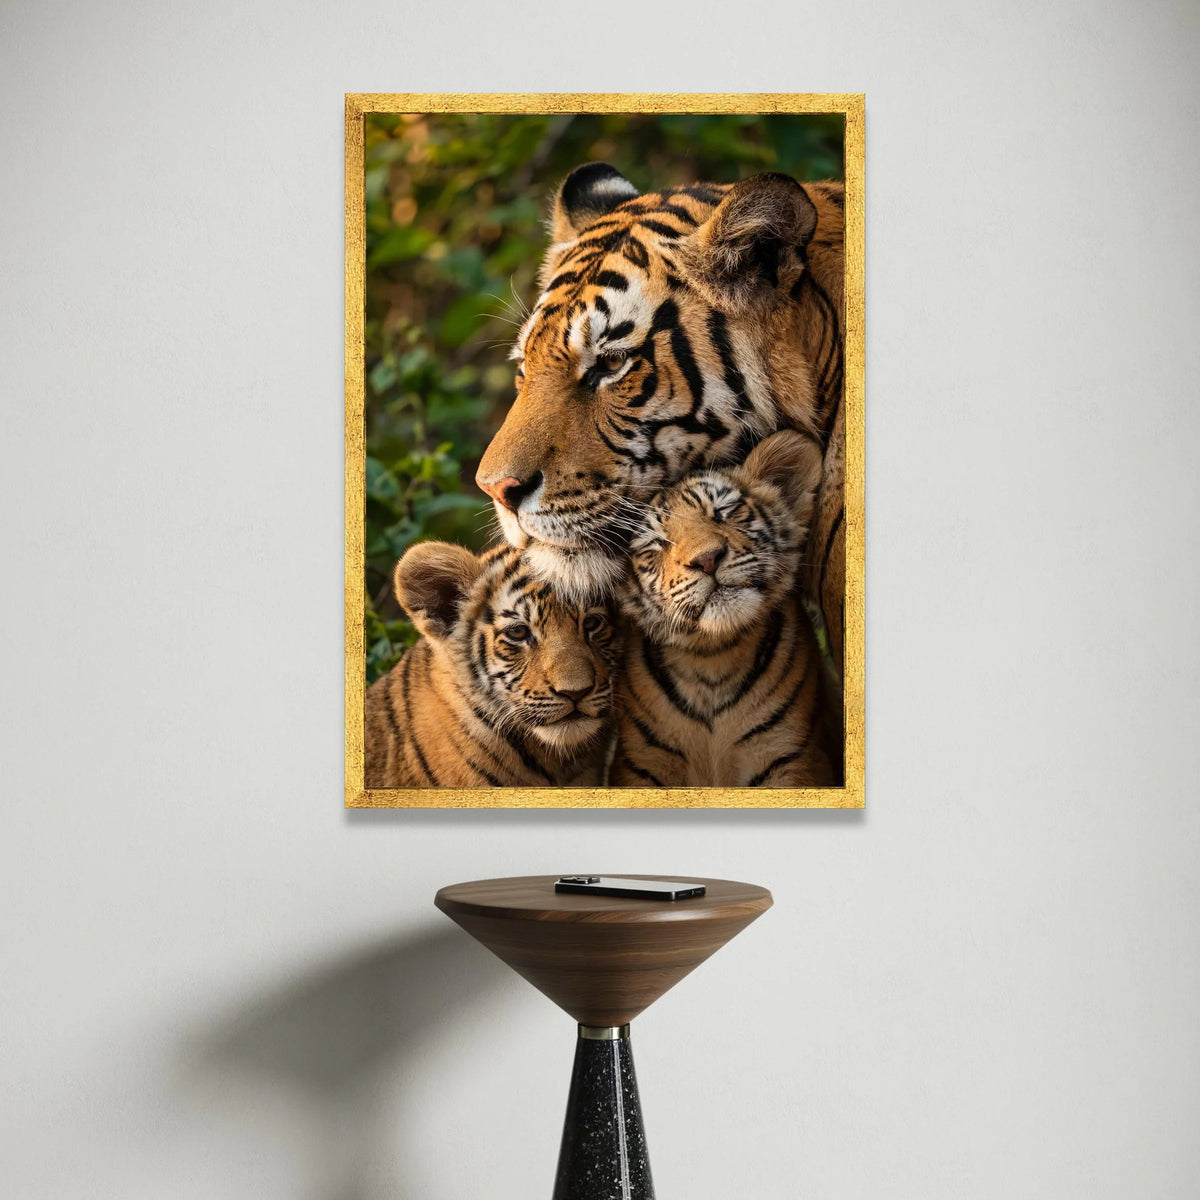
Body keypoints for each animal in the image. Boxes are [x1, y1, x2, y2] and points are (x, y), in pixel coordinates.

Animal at [610, 430, 840, 790]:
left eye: (724, 512)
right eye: (657, 544)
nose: (707, 559)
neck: (712, 660)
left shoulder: (791, 756)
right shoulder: (642, 765)